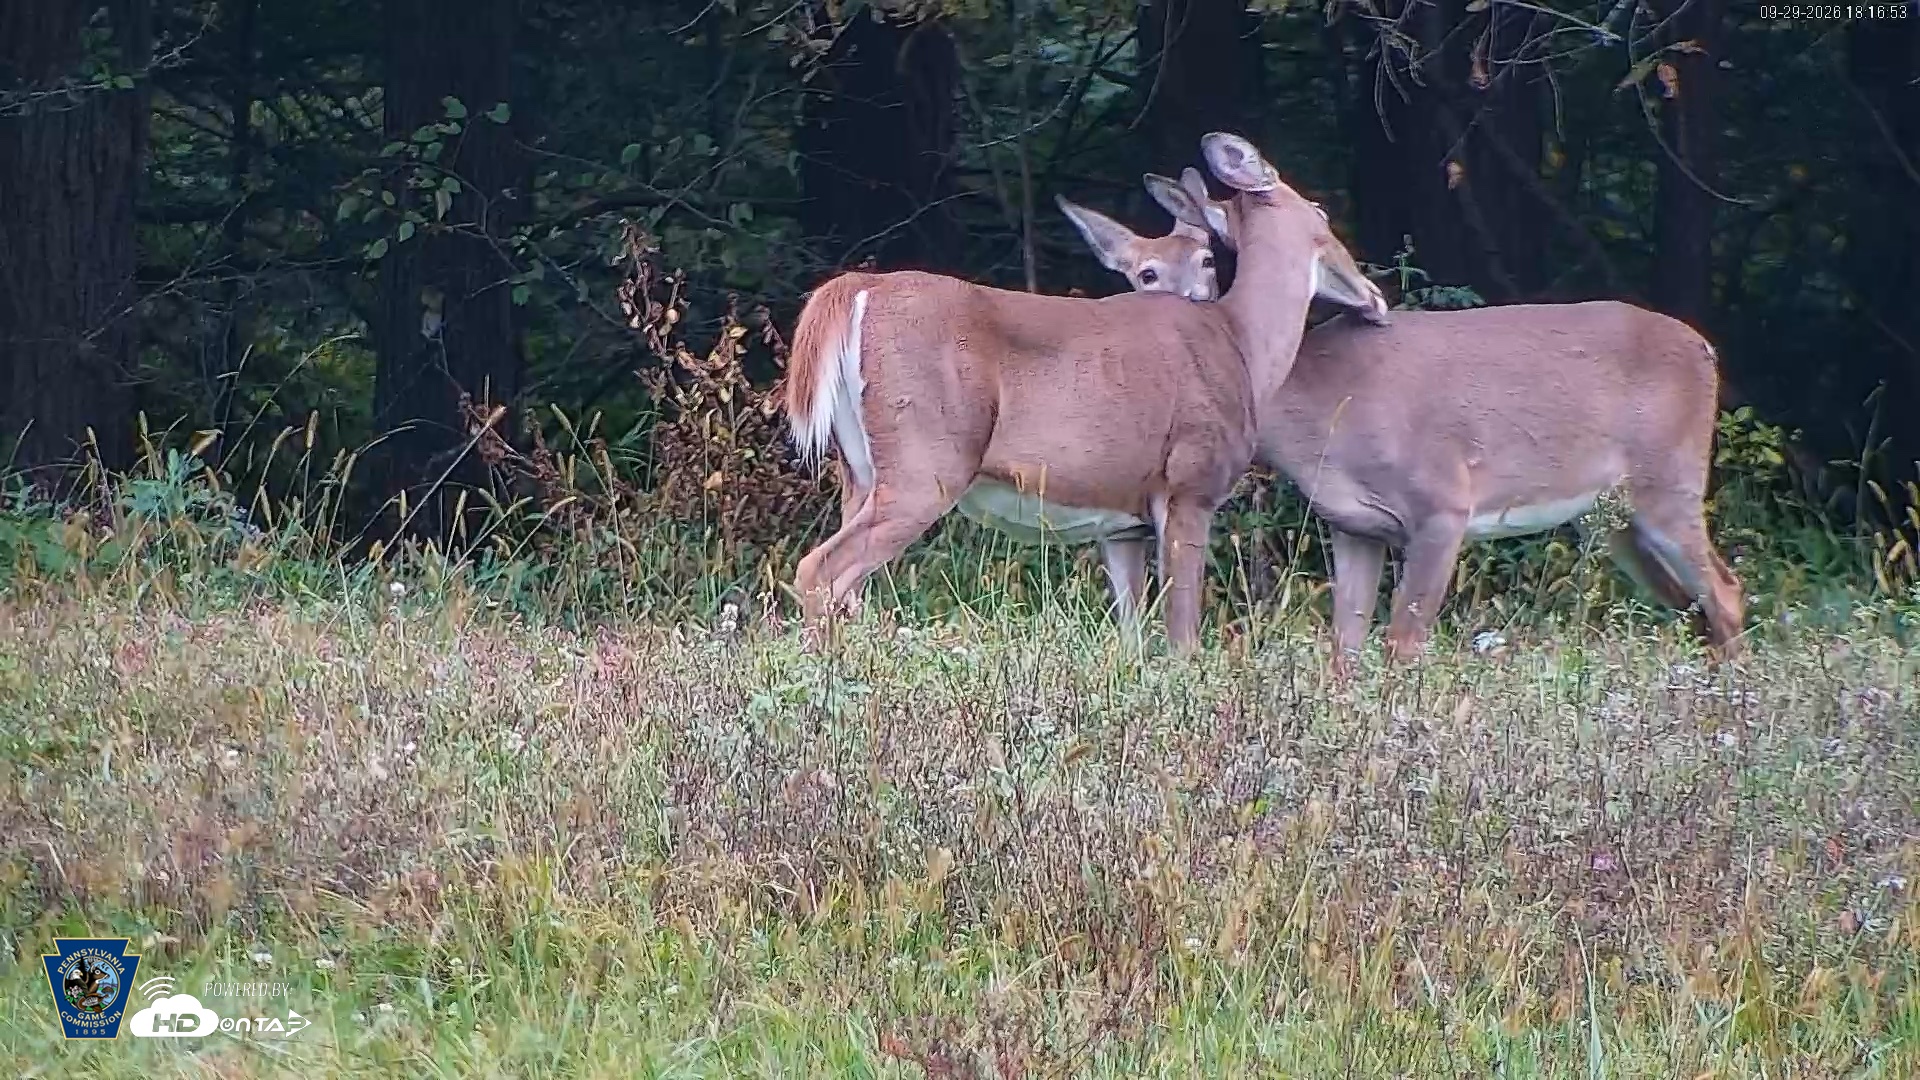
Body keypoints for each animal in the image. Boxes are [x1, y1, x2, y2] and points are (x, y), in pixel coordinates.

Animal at [782, 133, 1389, 654]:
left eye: (1209, 259)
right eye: (1321, 213)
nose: (1375, 296)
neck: (1242, 345)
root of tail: (858, 288)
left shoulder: (1123, 523)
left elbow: (1131, 639)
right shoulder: (1190, 484)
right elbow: (1184, 639)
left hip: (859, 470)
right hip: (926, 461)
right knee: (820, 570)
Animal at [1056, 168, 1745, 673]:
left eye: (1205, 260)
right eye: (1143, 273)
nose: (1187, 310)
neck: (1313, 402)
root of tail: (1707, 349)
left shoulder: (1444, 501)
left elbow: (1402, 647)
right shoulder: (1352, 522)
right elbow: (1347, 650)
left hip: (1669, 480)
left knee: (1726, 594)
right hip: (1613, 517)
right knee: (1693, 606)